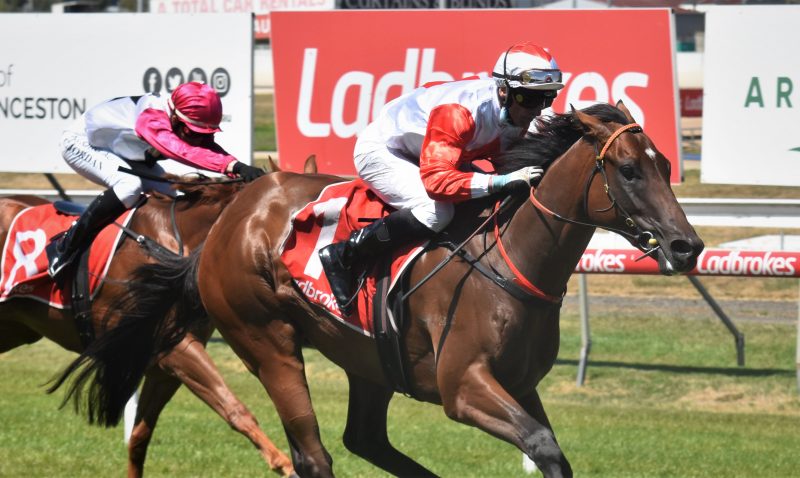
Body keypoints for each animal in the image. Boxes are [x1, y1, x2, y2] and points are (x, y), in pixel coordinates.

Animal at [0, 181, 295, 477]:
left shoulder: (162, 366)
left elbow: (140, 437)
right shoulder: (172, 347)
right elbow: (235, 408)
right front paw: (286, 464)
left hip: (15, 330)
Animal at [53, 102, 704, 477]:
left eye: (667, 164)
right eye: (627, 170)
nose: (686, 247)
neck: (510, 261)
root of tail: (230, 218)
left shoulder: (519, 384)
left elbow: (551, 451)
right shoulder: (463, 387)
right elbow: (542, 445)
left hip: (368, 359)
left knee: (364, 439)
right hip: (266, 339)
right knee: (313, 454)